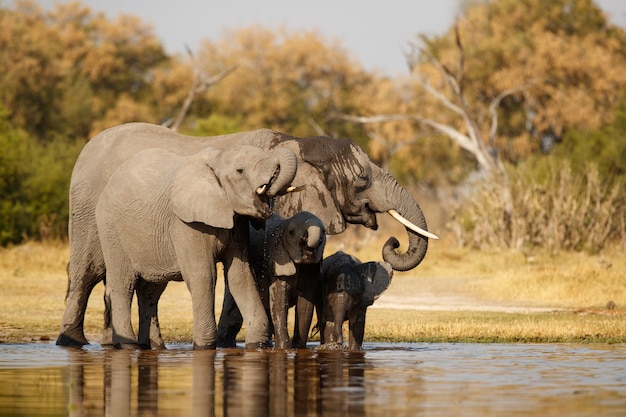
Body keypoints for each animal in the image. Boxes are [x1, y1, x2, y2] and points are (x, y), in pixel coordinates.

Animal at [94, 144, 296, 348]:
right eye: (240, 171)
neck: (217, 158)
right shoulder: (186, 224)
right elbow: (204, 275)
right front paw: (204, 346)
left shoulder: (237, 223)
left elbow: (240, 276)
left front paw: (257, 345)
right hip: (110, 229)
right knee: (123, 285)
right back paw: (127, 346)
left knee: (151, 291)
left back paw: (153, 347)